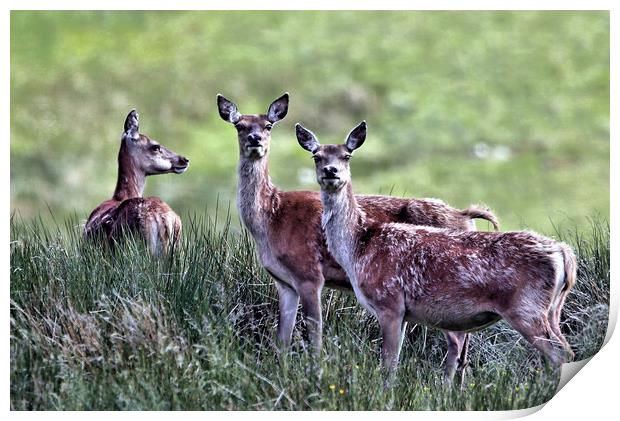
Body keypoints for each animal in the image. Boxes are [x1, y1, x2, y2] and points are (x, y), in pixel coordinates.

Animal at [216, 93, 502, 382]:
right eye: (239, 125)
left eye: (268, 125)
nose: (255, 140)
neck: (271, 219)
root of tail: (465, 215)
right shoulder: (283, 281)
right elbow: (282, 339)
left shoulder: (309, 273)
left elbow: (315, 333)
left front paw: (315, 372)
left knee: (459, 343)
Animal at [296, 120, 576, 378]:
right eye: (317, 156)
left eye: (347, 155)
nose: (331, 171)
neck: (358, 247)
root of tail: (564, 254)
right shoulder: (403, 313)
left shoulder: (390, 302)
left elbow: (388, 365)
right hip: (553, 309)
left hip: (526, 308)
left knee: (559, 353)